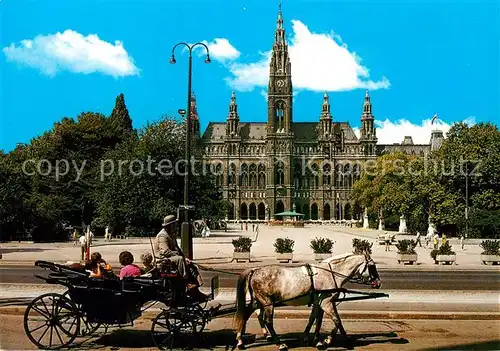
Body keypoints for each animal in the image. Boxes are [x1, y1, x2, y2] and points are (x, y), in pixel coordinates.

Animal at [232, 252, 380, 350]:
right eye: (372, 266)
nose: (378, 282)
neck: (330, 273)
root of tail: (254, 270)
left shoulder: (320, 303)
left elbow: (315, 320)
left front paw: (313, 339)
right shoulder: (327, 303)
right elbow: (337, 321)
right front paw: (332, 341)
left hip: (258, 301)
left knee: (245, 315)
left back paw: (240, 341)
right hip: (267, 302)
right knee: (267, 321)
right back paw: (279, 344)